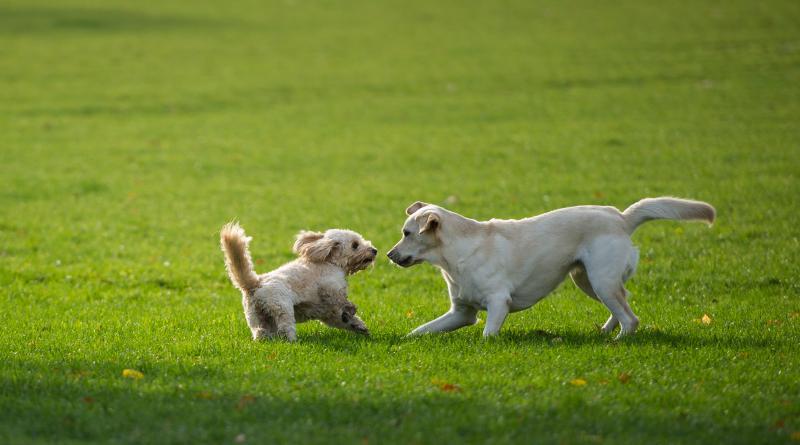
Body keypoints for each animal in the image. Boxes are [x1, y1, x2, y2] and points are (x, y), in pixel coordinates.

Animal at [220, 222, 376, 340]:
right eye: (355, 245)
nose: (374, 250)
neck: (330, 262)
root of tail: (256, 283)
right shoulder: (330, 287)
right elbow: (342, 300)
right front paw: (351, 309)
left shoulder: (328, 313)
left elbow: (342, 318)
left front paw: (359, 326)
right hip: (282, 308)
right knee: (285, 329)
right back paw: (293, 341)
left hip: (256, 317)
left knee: (261, 332)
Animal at [384, 196, 716, 338]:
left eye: (407, 233)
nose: (387, 254)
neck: (455, 255)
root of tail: (621, 217)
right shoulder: (461, 313)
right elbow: (420, 330)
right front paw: (403, 341)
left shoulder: (498, 303)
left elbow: (488, 334)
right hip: (587, 280)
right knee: (624, 304)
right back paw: (605, 331)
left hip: (601, 280)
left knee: (631, 318)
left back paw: (618, 341)